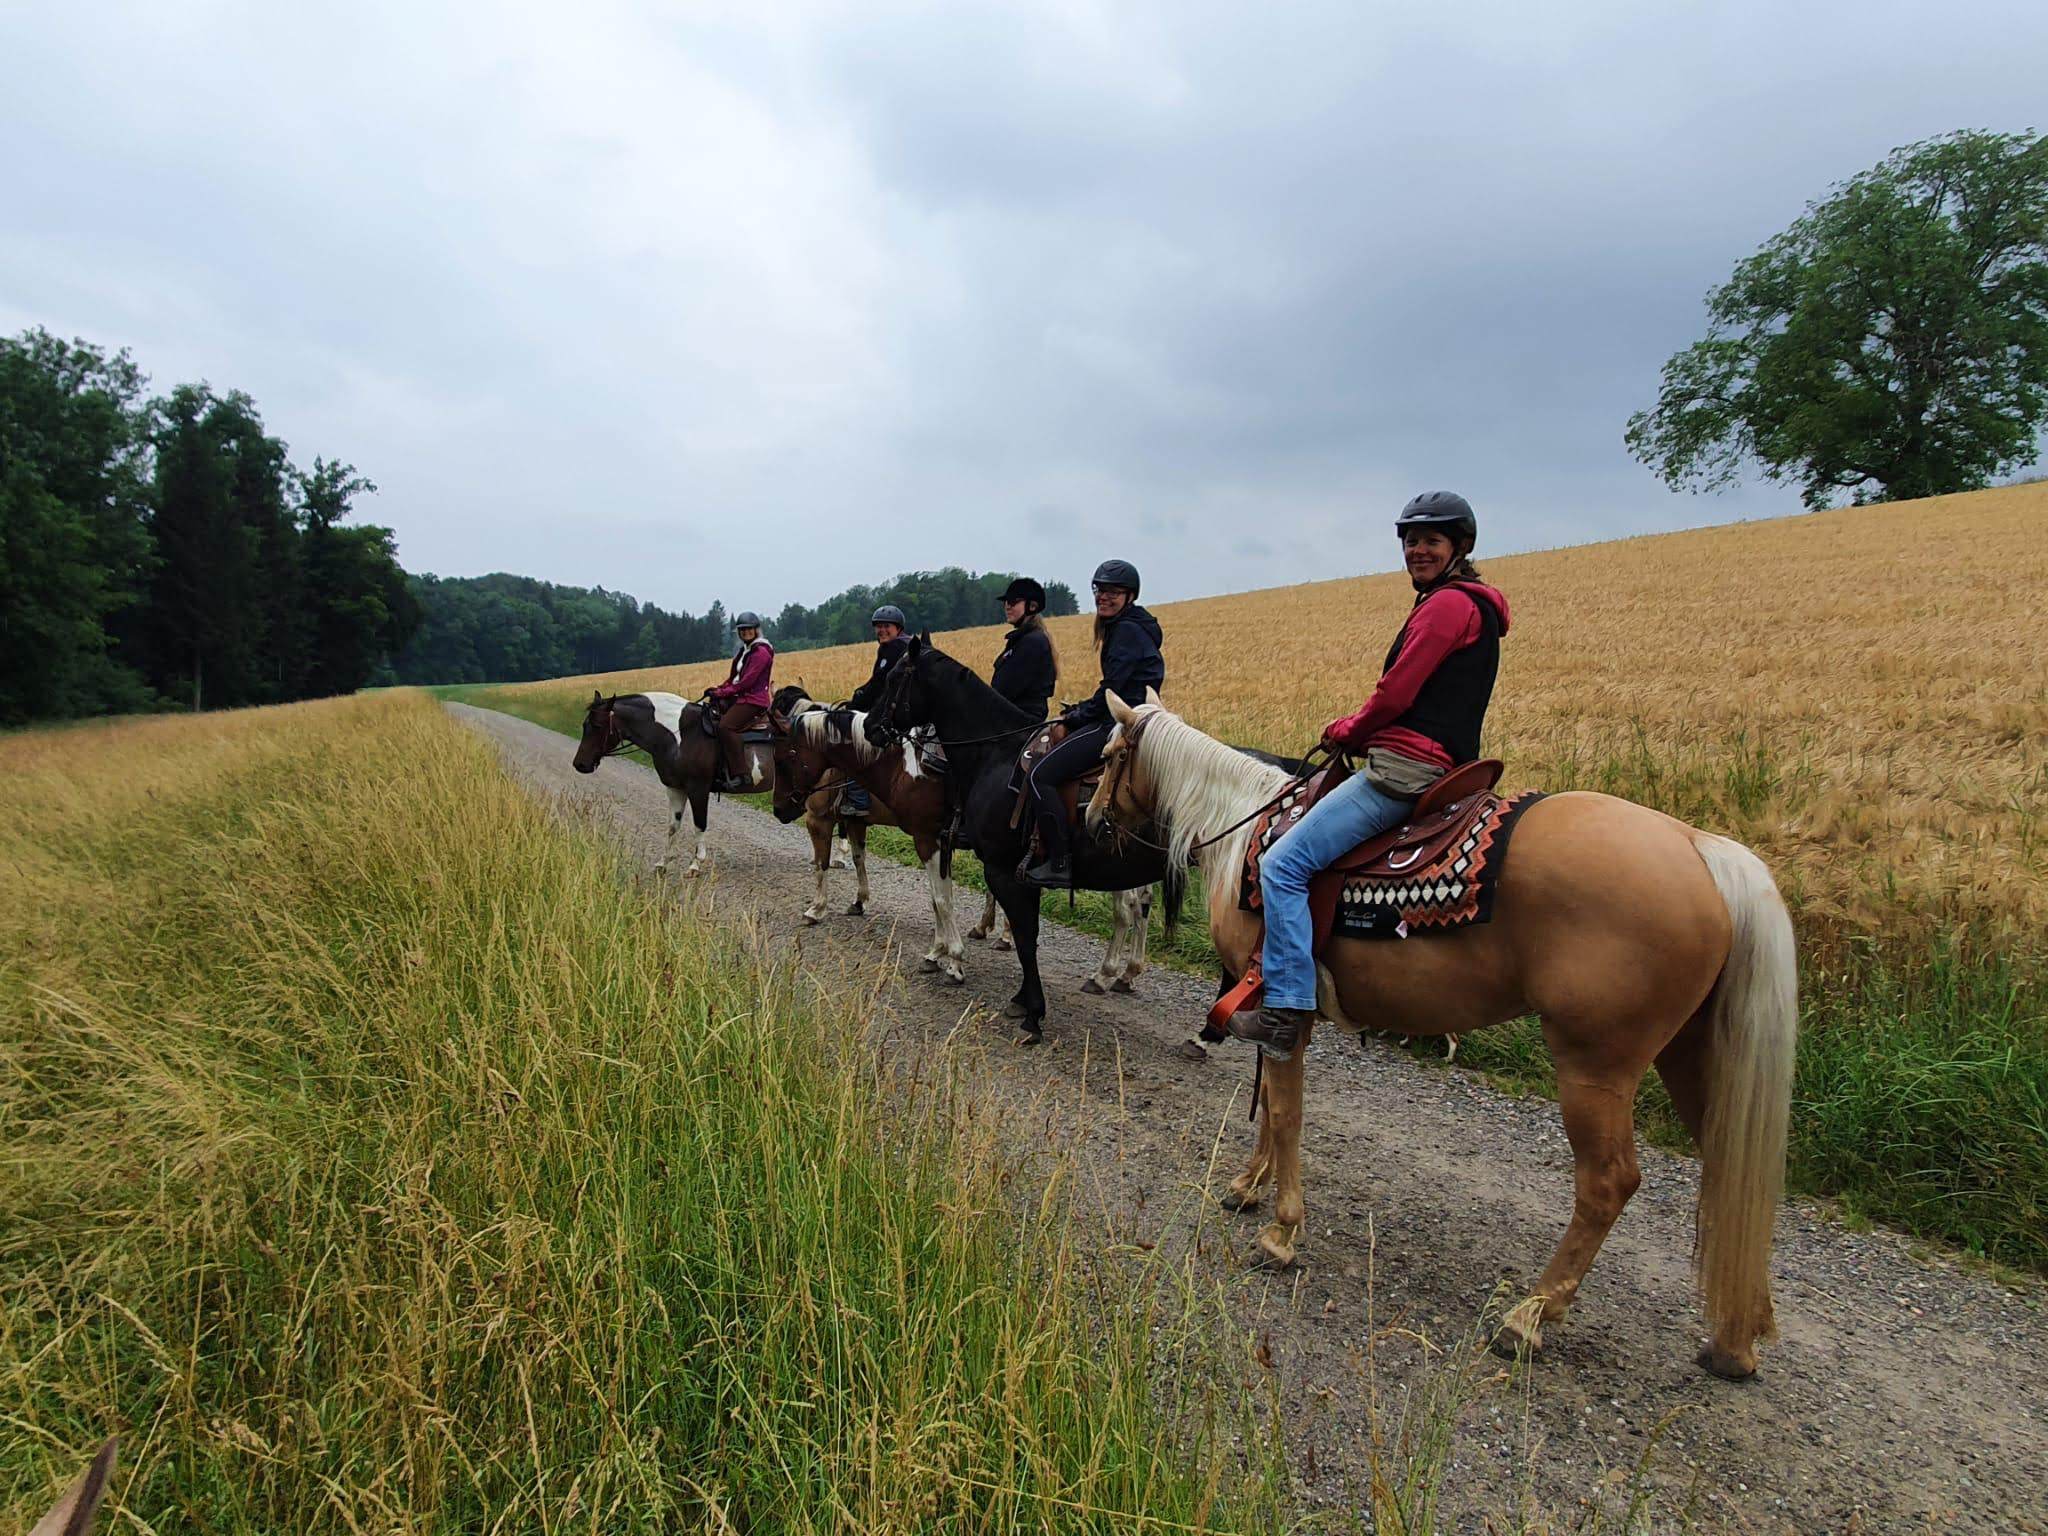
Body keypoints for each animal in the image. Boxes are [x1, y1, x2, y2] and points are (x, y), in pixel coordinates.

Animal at [572, 691, 772, 877]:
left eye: (597, 726)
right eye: (584, 725)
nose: (579, 764)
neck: (681, 735)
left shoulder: (698, 789)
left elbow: (699, 824)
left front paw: (695, 864)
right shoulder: (675, 789)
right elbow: (672, 826)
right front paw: (663, 863)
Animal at [872, 637, 1180, 1040]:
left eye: (893, 677)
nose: (872, 726)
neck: (994, 755)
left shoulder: (976, 858)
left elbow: (1007, 930)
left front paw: (1028, 1008)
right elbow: (1014, 930)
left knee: (1133, 911)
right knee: (1140, 905)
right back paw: (1125, 975)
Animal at [1084, 690, 1797, 1381]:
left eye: (1112, 754)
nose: (1092, 821)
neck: (1247, 833)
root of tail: (1700, 846)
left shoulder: (1280, 1003)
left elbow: (1284, 1113)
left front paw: (1282, 1233)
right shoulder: (1278, 1012)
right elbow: (1272, 1108)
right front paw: (1247, 1187)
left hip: (1595, 1068)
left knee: (1608, 1184)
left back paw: (1530, 1317)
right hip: (1692, 1060)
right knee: (1734, 1175)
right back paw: (1738, 1339)